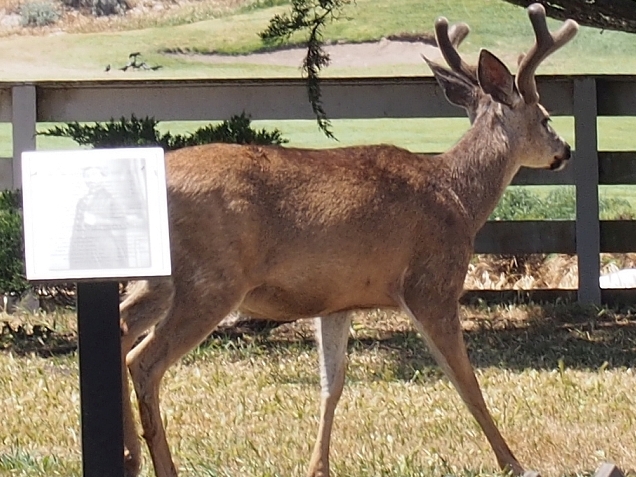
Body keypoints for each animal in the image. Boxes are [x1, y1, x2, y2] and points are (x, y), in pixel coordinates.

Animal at [120, 4, 580, 476]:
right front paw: (513, 462)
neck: (460, 199)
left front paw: (317, 466)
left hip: (160, 277)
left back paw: (129, 455)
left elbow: (332, 384)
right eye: (546, 117)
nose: (565, 151)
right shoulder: (431, 283)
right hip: (212, 278)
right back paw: (159, 463)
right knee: (143, 360)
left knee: (121, 327)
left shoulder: (337, 300)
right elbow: (466, 381)